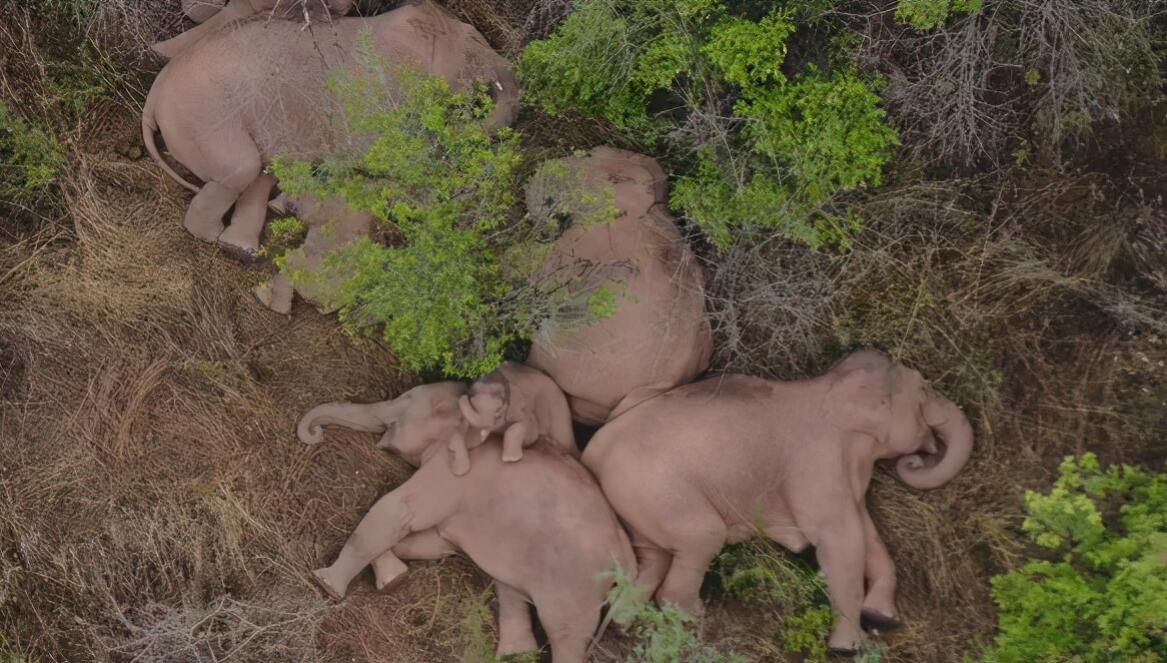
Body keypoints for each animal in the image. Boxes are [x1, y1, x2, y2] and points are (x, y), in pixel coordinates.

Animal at [141, 3, 515, 261]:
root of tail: (153, 97)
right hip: (203, 116)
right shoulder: (371, 94)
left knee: (261, 170)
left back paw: (243, 249)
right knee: (243, 167)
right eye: (475, 44)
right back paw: (211, 237)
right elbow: (379, 155)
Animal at [296, 382, 634, 663]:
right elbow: (430, 541)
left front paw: (325, 584)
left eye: (405, 402)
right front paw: (395, 578)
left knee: (565, 636)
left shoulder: (454, 473)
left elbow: (399, 509)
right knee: (511, 590)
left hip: (577, 588)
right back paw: (514, 654)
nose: (316, 433)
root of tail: (628, 558)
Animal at [583, 352, 975, 653]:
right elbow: (840, 539)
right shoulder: (817, 463)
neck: (832, 384)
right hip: (657, 490)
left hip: (636, 503)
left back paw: (630, 622)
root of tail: (595, 450)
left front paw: (883, 618)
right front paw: (849, 648)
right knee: (702, 539)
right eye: (923, 389)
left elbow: (868, 534)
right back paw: (693, 618)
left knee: (652, 558)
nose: (916, 460)